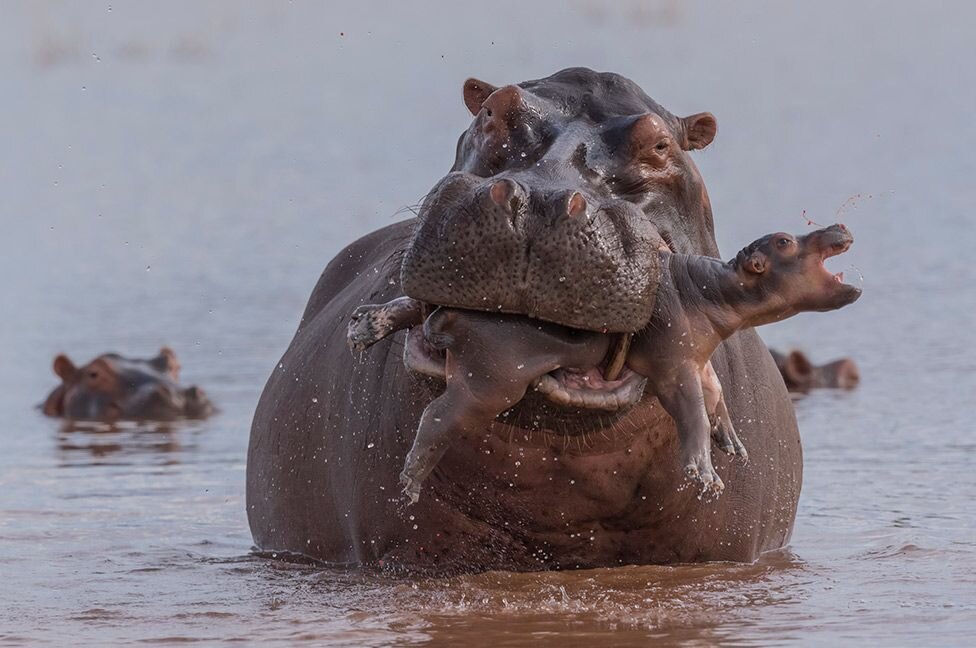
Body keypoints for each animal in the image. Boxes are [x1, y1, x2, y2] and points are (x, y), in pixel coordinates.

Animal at [350, 223, 860, 502]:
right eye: (784, 240)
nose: (838, 225)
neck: (711, 287)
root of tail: (454, 315)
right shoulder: (674, 367)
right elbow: (692, 412)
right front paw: (705, 476)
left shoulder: (699, 360)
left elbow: (714, 396)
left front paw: (733, 443)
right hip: (488, 383)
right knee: (436, 415)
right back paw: (410, 483)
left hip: (447, 314)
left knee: (410, 308)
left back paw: (364, 326)